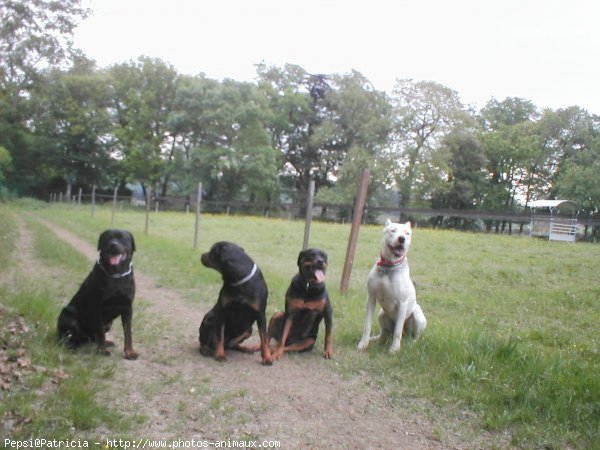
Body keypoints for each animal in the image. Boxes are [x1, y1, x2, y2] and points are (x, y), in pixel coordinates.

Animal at [57, 229, 138, 358]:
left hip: (109, 323)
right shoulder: (98, 308)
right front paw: (102, 351)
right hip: (68, 317)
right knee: (68, 337)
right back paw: (72, 346)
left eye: (122, 238)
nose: (113, 244)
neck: (116, 276)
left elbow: (128, 332)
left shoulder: (127, 308)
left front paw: (130, 352)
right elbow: (100, 331)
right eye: (108, 238)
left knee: (91, 338)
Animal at [356, 220, 426, 354]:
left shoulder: (403, 303)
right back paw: (375, 339)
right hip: (382, 314)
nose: (402, 239)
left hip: (418, 318)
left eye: (407, 233)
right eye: (392, 230)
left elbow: (398, 330)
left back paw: (410, 344)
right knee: (383, 333)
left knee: (413, 336)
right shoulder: (371, 298)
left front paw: (394, 349)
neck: (389, 266)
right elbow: (367, 325)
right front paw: (363, 343)